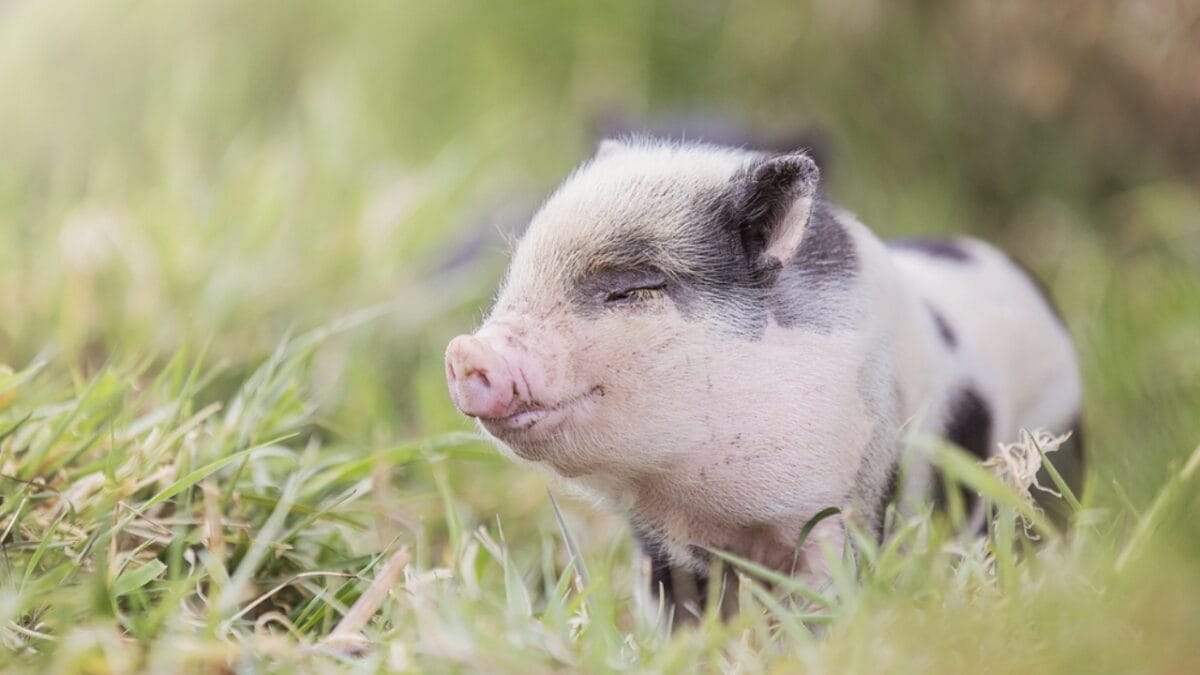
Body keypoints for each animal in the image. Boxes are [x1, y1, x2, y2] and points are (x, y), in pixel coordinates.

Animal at [444, 138, 1083, 621]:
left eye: (634, 287)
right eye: (520, 269)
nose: (464, 352)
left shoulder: (848, 504)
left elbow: (826, 597)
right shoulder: (661, 540)